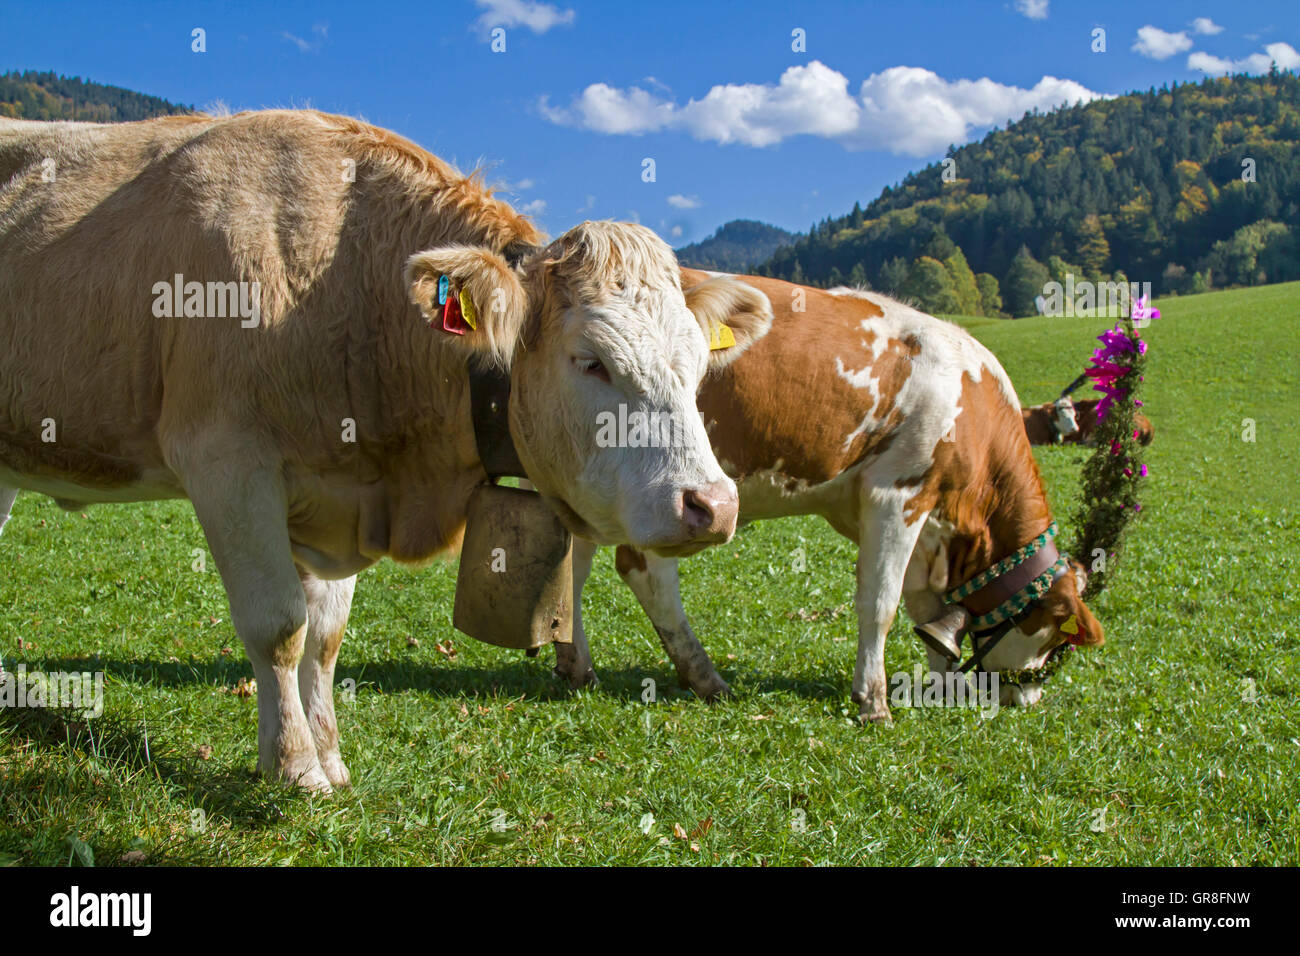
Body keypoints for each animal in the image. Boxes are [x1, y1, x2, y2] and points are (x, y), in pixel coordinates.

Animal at [0, 108, 769, 790]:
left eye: (697, 362)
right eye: (592, 362)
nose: (713, 505)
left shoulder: (338, 492)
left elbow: (324, 635)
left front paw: (331, 757)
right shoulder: (225, 461)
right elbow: (278, 625)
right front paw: (295, 767)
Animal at [553, 269, 1102, 717]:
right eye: (1058, 642)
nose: (1027, 696)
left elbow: (927, 610)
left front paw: (942, 685)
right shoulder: (897, 492)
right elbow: (881, 601)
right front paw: (874, 700)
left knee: (575, 562)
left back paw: (577, 665)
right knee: (646, 570)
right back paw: (704, 677)